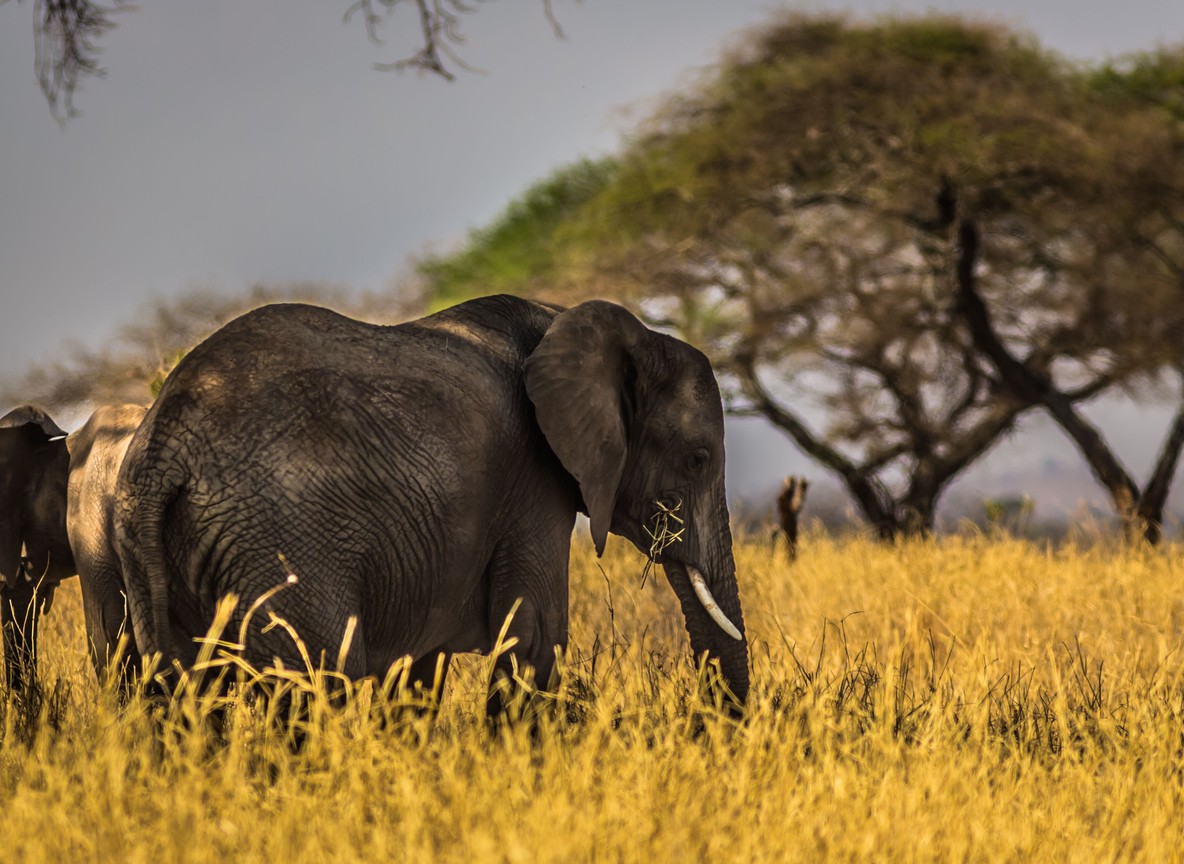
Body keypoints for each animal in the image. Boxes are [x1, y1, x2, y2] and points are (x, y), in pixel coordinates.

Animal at [114, 295, 749, 715]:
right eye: (697, 459)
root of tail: (166, 443)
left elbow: (418, 667)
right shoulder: (533, 479)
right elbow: (535, 635)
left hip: (151, 553)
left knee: (177, 692)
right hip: (278, 541)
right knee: (320, 684)